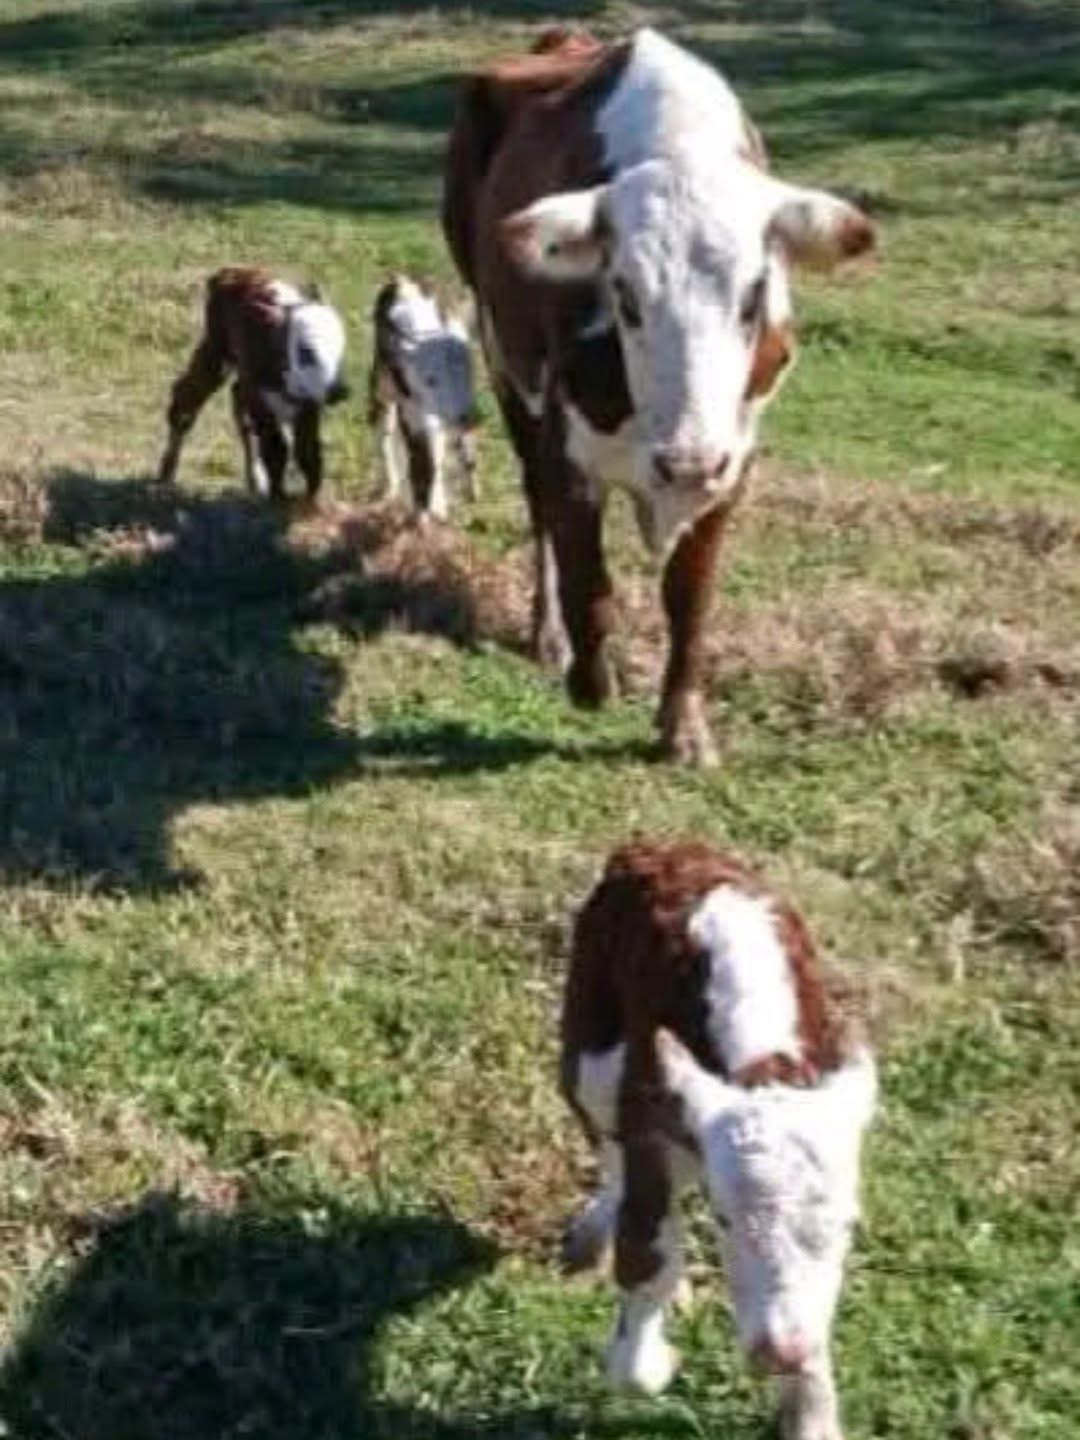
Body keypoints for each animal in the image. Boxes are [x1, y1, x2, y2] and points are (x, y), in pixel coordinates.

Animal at [158, 267, 349, 501]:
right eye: (307, 351)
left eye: (340, 348)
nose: (340, 390)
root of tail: (231, 271)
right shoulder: (262, 401)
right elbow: (276, 451)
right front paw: (278, 498)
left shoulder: (308, 403)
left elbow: (309, 454)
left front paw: (313, 502)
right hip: (217, 350)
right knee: (185, 401)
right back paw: (166, 473)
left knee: (238, 401)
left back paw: (255, 480)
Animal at [442, 27, 876, 764]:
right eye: (624, 293)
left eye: (755, 293)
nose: (687, 461)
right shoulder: (567, 449)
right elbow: (588, 577)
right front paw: (592, 682)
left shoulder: (735, 460)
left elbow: (689, 595)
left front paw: (684, 725)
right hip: (503, 362)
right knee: (537, 512)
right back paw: (547, 634)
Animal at [562, 839, 877, 1440]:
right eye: (726, 1219)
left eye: (848, 1225)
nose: (778, 1352)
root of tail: (659, 845)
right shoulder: (651, 1125)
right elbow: (647, 1259)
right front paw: (652, 1358)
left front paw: (810, 1409)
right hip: (588, 1041)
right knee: (603, 1139)